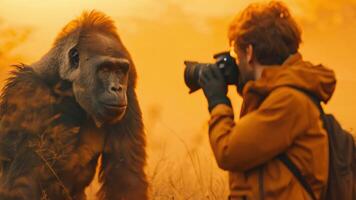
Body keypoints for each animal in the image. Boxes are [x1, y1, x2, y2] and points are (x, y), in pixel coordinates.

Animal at [0, 10, 147, 200]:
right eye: (105, 69)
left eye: (120, 71)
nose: (117, 88)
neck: (65, 86)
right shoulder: (27, 91)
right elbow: (22, 182)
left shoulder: (129, 96)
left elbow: (126, 178)